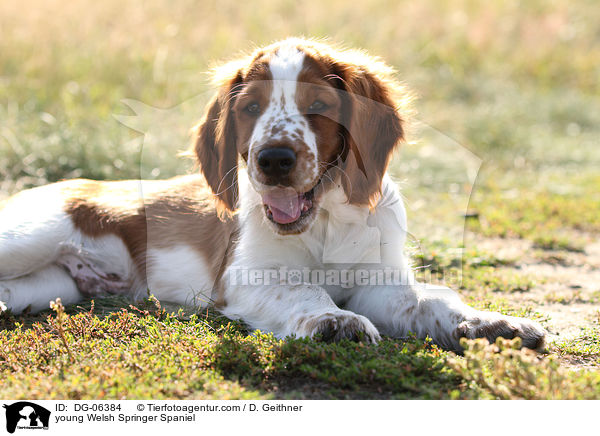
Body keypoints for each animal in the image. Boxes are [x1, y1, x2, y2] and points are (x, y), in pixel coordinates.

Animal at [0, 37, 544, 350]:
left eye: (320, 105)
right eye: (250, 108)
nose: (274, 160)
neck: (325, 219)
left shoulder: (381, 284)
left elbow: (434, 300)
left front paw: (492, 323)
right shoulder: (245, 277)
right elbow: (303, 289)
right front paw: (332, 319)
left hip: (49, 286)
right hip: (31, 237)